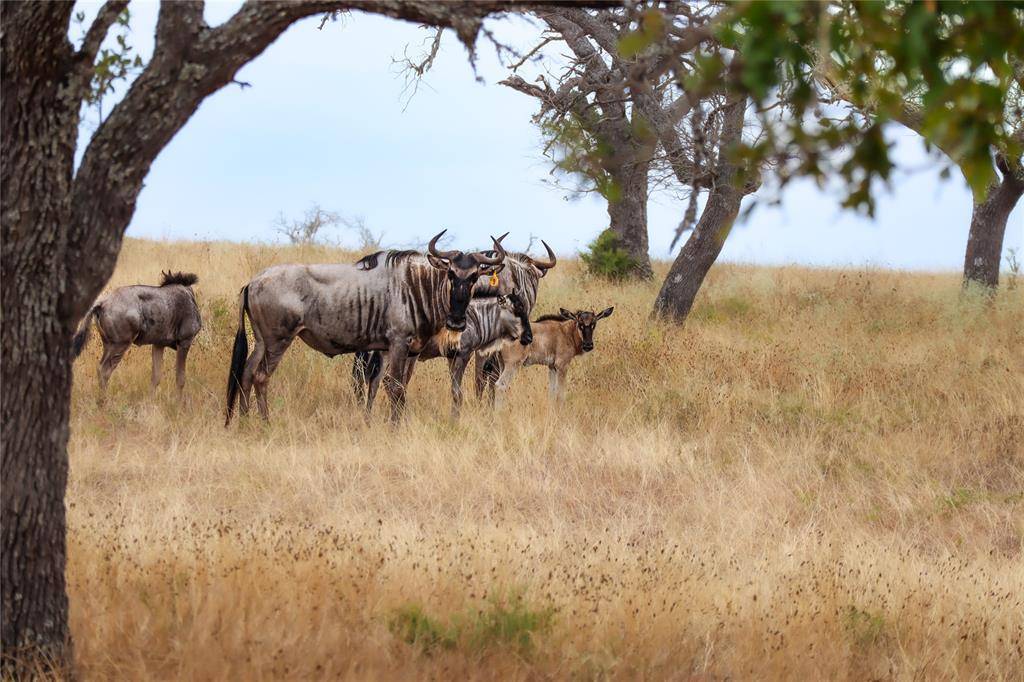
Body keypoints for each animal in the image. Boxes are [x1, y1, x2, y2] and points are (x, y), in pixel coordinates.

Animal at [71, 270, 201, 399]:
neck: (189, 295)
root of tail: (101, 303)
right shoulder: (185, 341)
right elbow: (180, 378)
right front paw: (178, 402)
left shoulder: (158, 344)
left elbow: (156, 376)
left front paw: (150, 400)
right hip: (120, 345)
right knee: (104, 370)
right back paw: (104, 400)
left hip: (108, 345)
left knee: (99, 368)